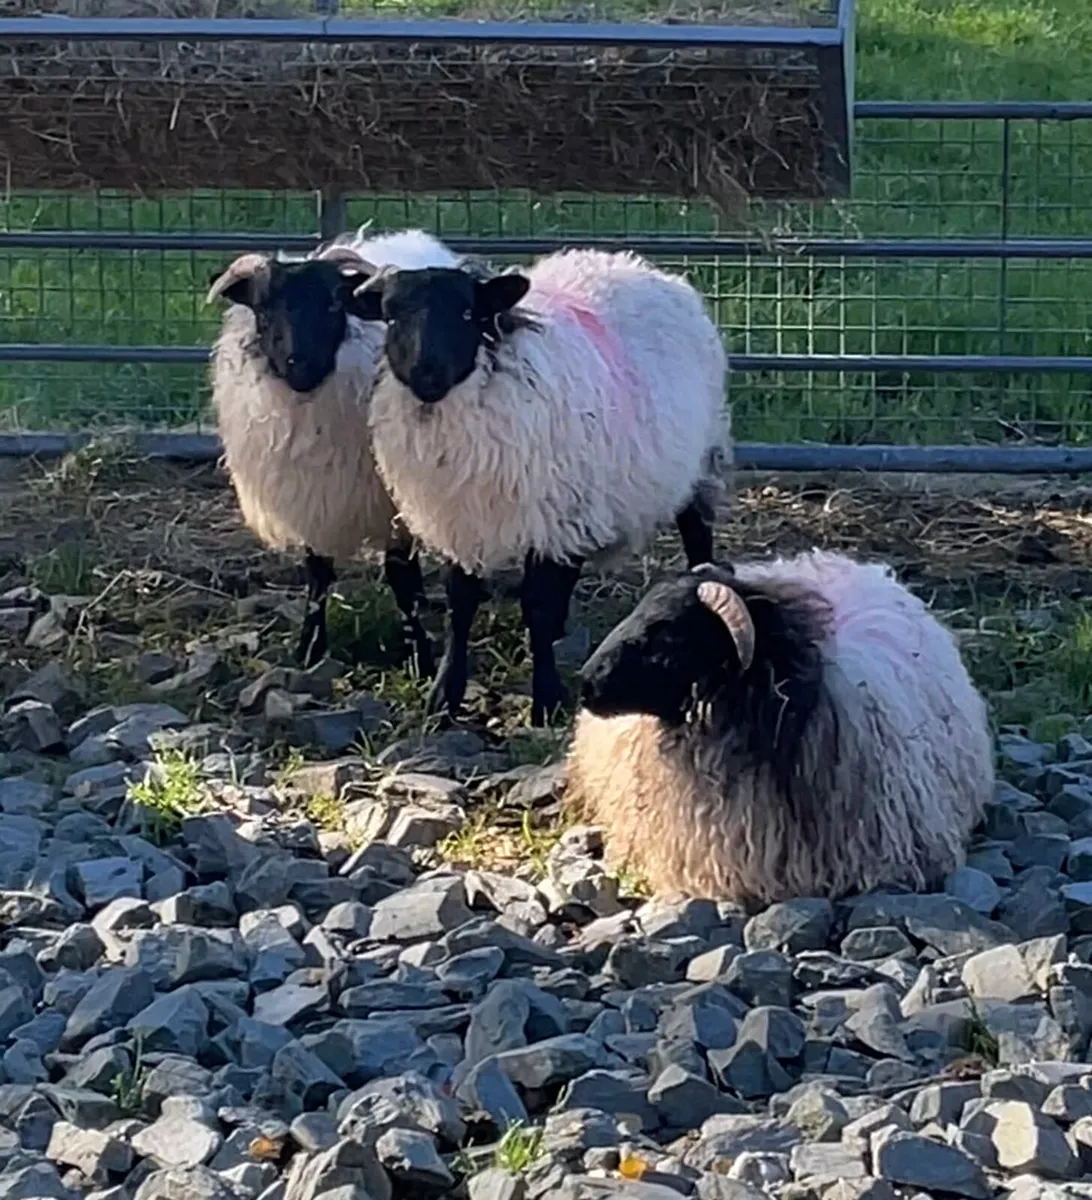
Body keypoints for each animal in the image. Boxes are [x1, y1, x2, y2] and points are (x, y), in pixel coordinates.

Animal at [205, 228, 464, 672]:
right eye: (265, 309)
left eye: (332, 305)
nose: (300, 364)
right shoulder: (311, 497)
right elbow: (318, 574)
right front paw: (309, 648)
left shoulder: (392, 503)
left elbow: (401, 575)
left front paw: (420, 656)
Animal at [347, 247, 733, 726]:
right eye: (392, 315)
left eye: (467, 312)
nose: (426, 374)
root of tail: (639, 265)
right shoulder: (461, 519)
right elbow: (462, 604)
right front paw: (444, 695)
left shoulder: (550, 519)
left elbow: (538, 605)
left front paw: (546, 698)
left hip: (699, 459)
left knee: (697, 533)